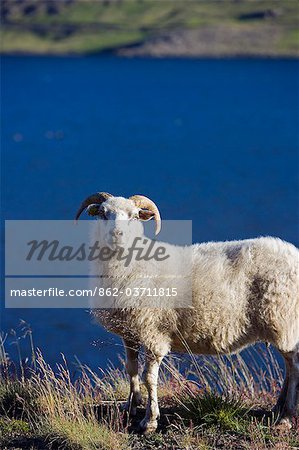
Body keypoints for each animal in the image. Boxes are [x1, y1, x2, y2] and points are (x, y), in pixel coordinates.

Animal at [75, 192, 299, 432]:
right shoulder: (130, 333)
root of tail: (293, 253)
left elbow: (149, 377)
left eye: (134, 215)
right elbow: (131, 369)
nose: (117, 234)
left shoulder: (154, 334)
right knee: (289, 366)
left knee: (294, 365)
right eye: (103, 213)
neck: (136, 266)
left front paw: (150, 421)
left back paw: (286, 417)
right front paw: (131, 405)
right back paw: (278, 408)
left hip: (283, 320)